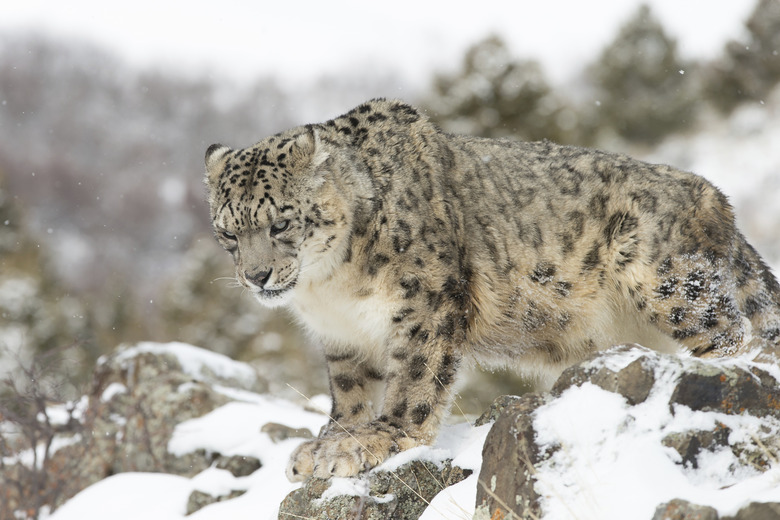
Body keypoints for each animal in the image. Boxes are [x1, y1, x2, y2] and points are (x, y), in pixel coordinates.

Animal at [206, 98, 780, 484]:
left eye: (280, 223)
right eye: (228, 233)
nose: (256, 276)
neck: (329, 285)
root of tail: (716, 197)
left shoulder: (426, 302)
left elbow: (414, 379)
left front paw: (383, 438)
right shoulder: (341, 335)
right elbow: (349, 391)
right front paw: (330, 441)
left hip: (666, 279)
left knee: (733, 334)